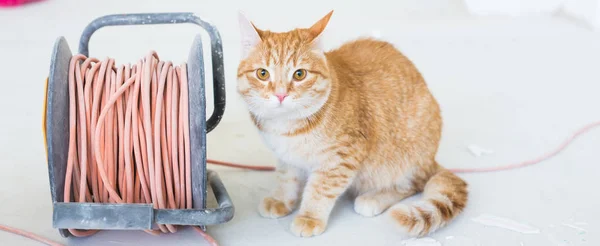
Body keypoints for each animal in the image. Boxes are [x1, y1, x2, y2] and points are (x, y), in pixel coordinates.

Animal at [236, 10, 468, 237]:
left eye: (299, 74)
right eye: (262, 73)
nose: (281, 94)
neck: (287, 129)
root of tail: (431, 159)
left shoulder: (341, 158)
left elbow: (320, 189)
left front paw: (309, 217)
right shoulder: (286, 157)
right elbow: (287, 178)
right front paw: (281, 199)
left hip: (404, 158)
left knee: (412, 184)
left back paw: (373, 198)